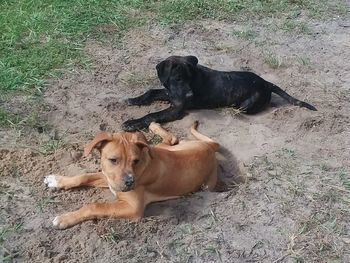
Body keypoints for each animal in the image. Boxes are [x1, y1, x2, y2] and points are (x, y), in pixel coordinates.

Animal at [44, 121, 221, 229]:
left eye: (135, 161)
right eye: (113, 160)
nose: (129, 182)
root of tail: (210, 148)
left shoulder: (132, 207)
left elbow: (95, 205)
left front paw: (65, 218)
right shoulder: (109, 177)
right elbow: (84, 176)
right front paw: (57, 180)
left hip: (204, 182)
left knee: (171, 138)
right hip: (164, 148)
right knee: (170, 139)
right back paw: (153, 126)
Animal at [121, 55, 316, 131]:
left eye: (190, 79)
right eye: (177, 78)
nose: (190, 95)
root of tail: (266, 83)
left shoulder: (176, 108)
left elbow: (152, 115)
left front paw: (132, 123)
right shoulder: (171, 95)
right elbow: (151, 91)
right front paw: (134, 99)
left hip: (245, 105)